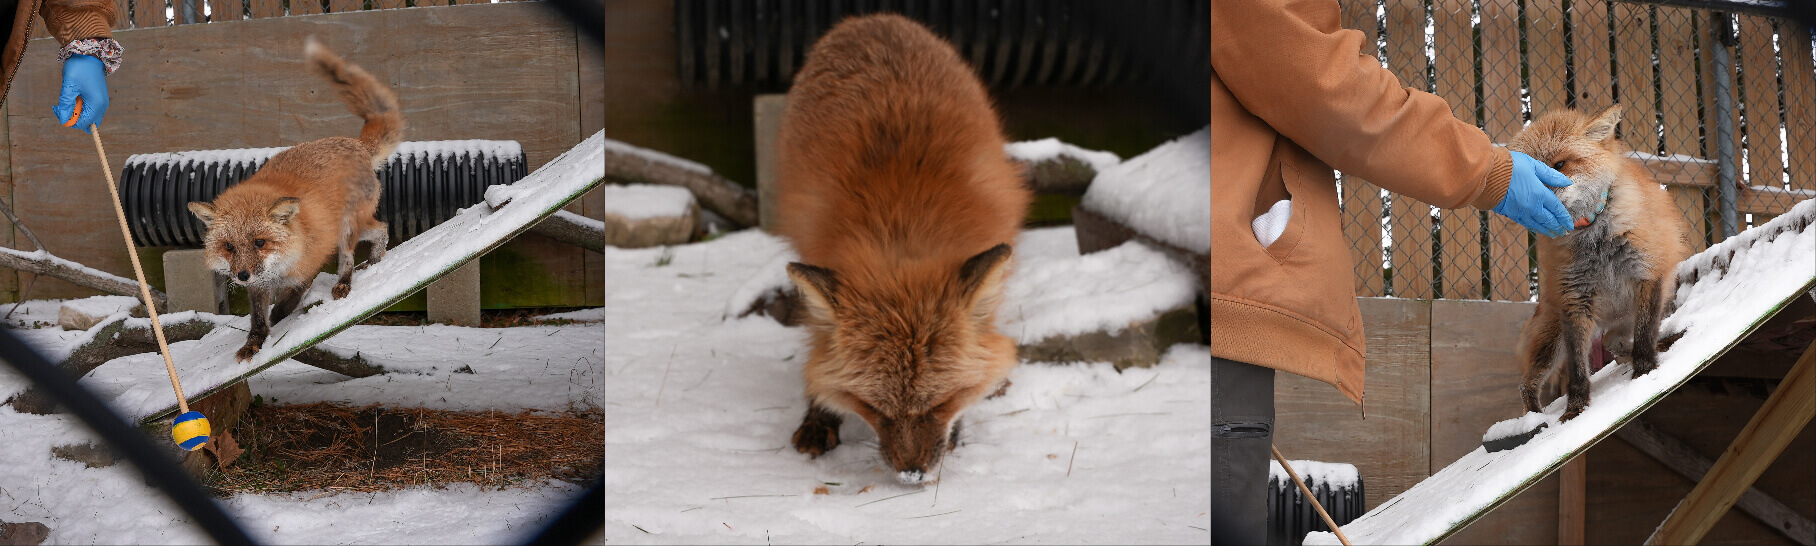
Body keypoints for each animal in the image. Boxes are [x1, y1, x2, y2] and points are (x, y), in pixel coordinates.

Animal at [187, 38, 401, 360]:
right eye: (229, 246)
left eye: (260, 242)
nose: (242, 275)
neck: (278, 268)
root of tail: (356, 144)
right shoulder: (258, 286)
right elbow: (257, 318)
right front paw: (254, 343)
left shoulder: (308, 265)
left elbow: (288, 300)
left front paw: (279, 320)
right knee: (382, 229)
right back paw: (375, 261)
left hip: (346, 230)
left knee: (356, 251)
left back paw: (345, 282)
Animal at [777, 12, 1038, 482]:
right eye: (873, 408)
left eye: (943, 402)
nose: (912, 474)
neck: (901, 220)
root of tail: (872, 19)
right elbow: (819, 348)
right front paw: (819, 413)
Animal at [1503, 106, 1685, 420]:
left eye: (1560, 164)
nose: (1535, 198)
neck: (1595, 236)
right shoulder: (1575, 302)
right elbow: (1577, 370)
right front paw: (1575, 410)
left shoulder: (1647, 274)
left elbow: (1645, 336)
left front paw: (1645, 371)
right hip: (1552, 341)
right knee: (1527, 385)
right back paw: (1534, 420)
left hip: (1642, 306)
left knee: (1616, 340)